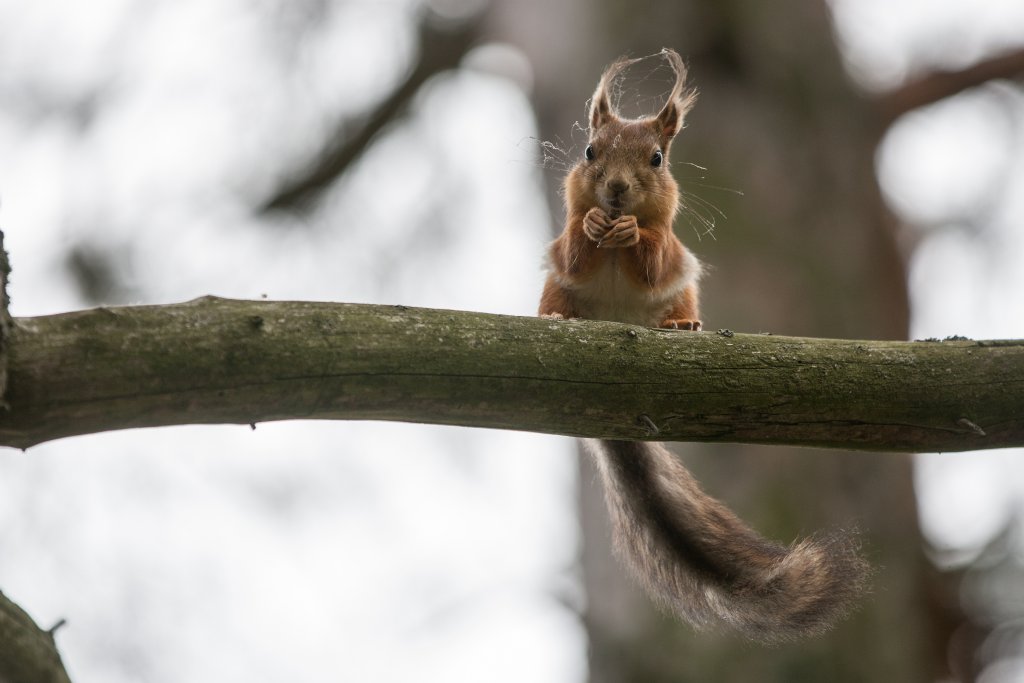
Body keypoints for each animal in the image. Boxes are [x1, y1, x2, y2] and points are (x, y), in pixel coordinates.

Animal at [536, 50, 864, 643]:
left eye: (658, 158)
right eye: (590, 151)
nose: (615, 189)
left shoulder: (671, 252)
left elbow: (655, 256)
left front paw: (633, 235)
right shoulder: (565, 248)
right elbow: (574, 248)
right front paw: (593, 223)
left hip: (682, 291)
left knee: (675, 299)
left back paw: (681, 328)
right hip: (556, 289)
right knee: (556, 294)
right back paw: (553, 315)